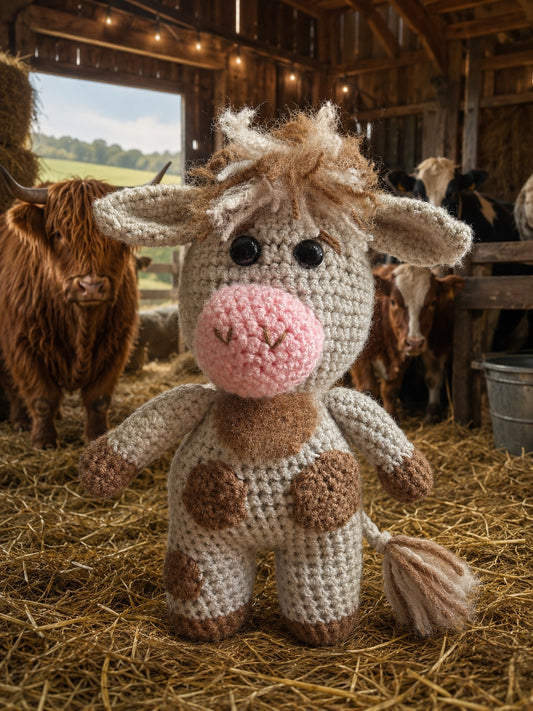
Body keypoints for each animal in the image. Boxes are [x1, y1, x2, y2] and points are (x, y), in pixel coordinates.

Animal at [0, 165, 167, 449]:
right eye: (58, 234)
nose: (91, 286)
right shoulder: (21, 343)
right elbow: (41, 397)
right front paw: (43, 441)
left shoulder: (116, 345)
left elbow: (98, 399)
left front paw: (97, 436)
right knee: (13, 387)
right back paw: (21, 421)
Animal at [349, 263, 463, 421]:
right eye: (393, 301)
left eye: (433, 302)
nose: (414, 342)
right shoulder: (361, 361)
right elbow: (368, 389)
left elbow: (391, 392)